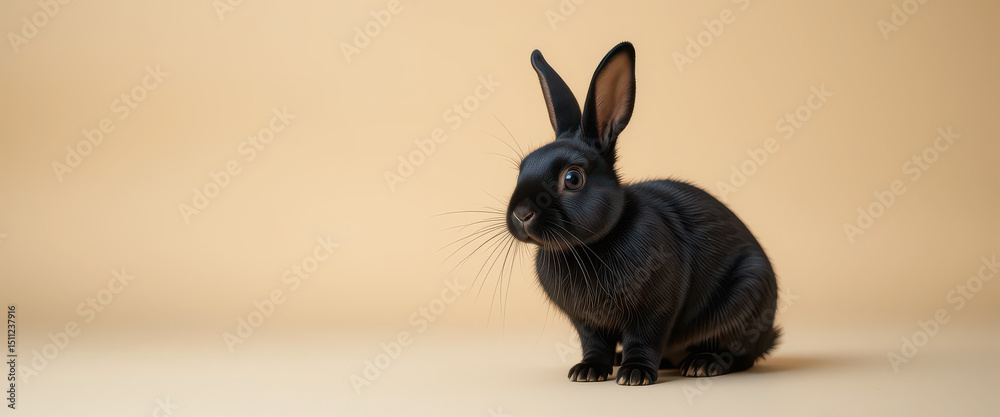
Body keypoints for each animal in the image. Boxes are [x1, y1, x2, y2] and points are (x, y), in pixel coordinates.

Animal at [505, 41, 780, 386]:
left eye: (572, 178)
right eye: (521, 168)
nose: (521, 214)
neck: (586, 247)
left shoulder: (655, 308)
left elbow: (644, 338)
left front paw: (634, 374)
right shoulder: (587, 322)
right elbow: (594, 344)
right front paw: (587, 371)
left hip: (747, 293)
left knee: (739, 354)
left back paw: (702, 364)